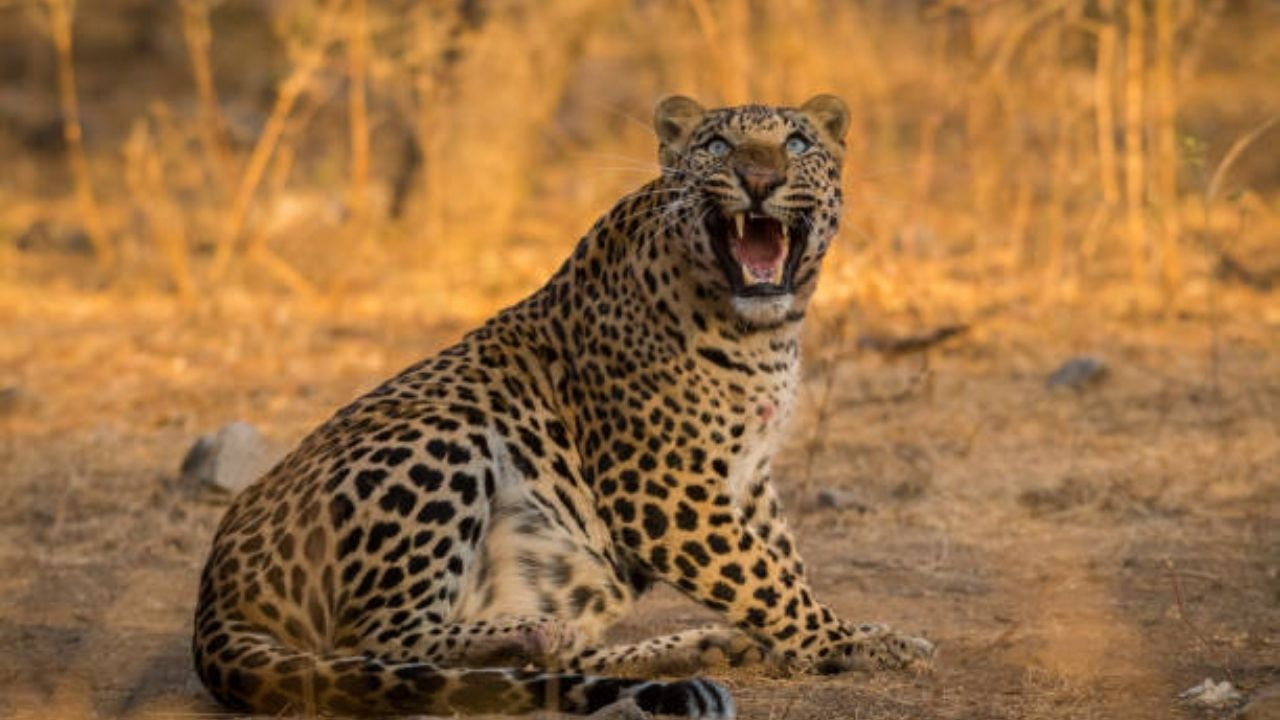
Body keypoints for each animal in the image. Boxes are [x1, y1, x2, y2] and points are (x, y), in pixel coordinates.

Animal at [192, 94, 934, 719]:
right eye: (719, 146)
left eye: (798, 142)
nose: (758, 178)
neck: (764, 331)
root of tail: (212, 595)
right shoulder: (661, 486)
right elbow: (762, 576)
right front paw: (858, 643)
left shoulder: (749, 476)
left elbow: (779, 562)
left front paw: (817, 639)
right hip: (444, 434)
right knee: (371, 643)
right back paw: (526, 636)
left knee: (552, 649)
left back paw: (682, 647)